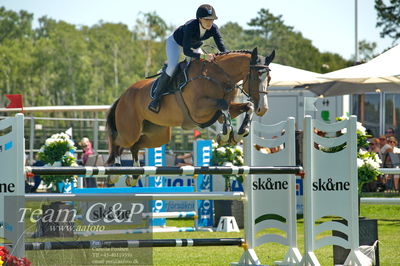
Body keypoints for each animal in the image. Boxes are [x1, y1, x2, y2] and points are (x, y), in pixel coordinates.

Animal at [106, 47, 276, 183]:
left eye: (269, 78)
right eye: (255, 77)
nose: (263, 109)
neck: (218, 76)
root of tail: (123, 96)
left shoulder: (218, 113)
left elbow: (246, 107)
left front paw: (238, 134)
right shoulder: (198, 111)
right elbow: (223, 105)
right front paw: (225, 135)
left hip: (158, 135)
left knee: (135, 146)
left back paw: (134, 175)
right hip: (130, 131)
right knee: (118, 141)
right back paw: (115, 171)